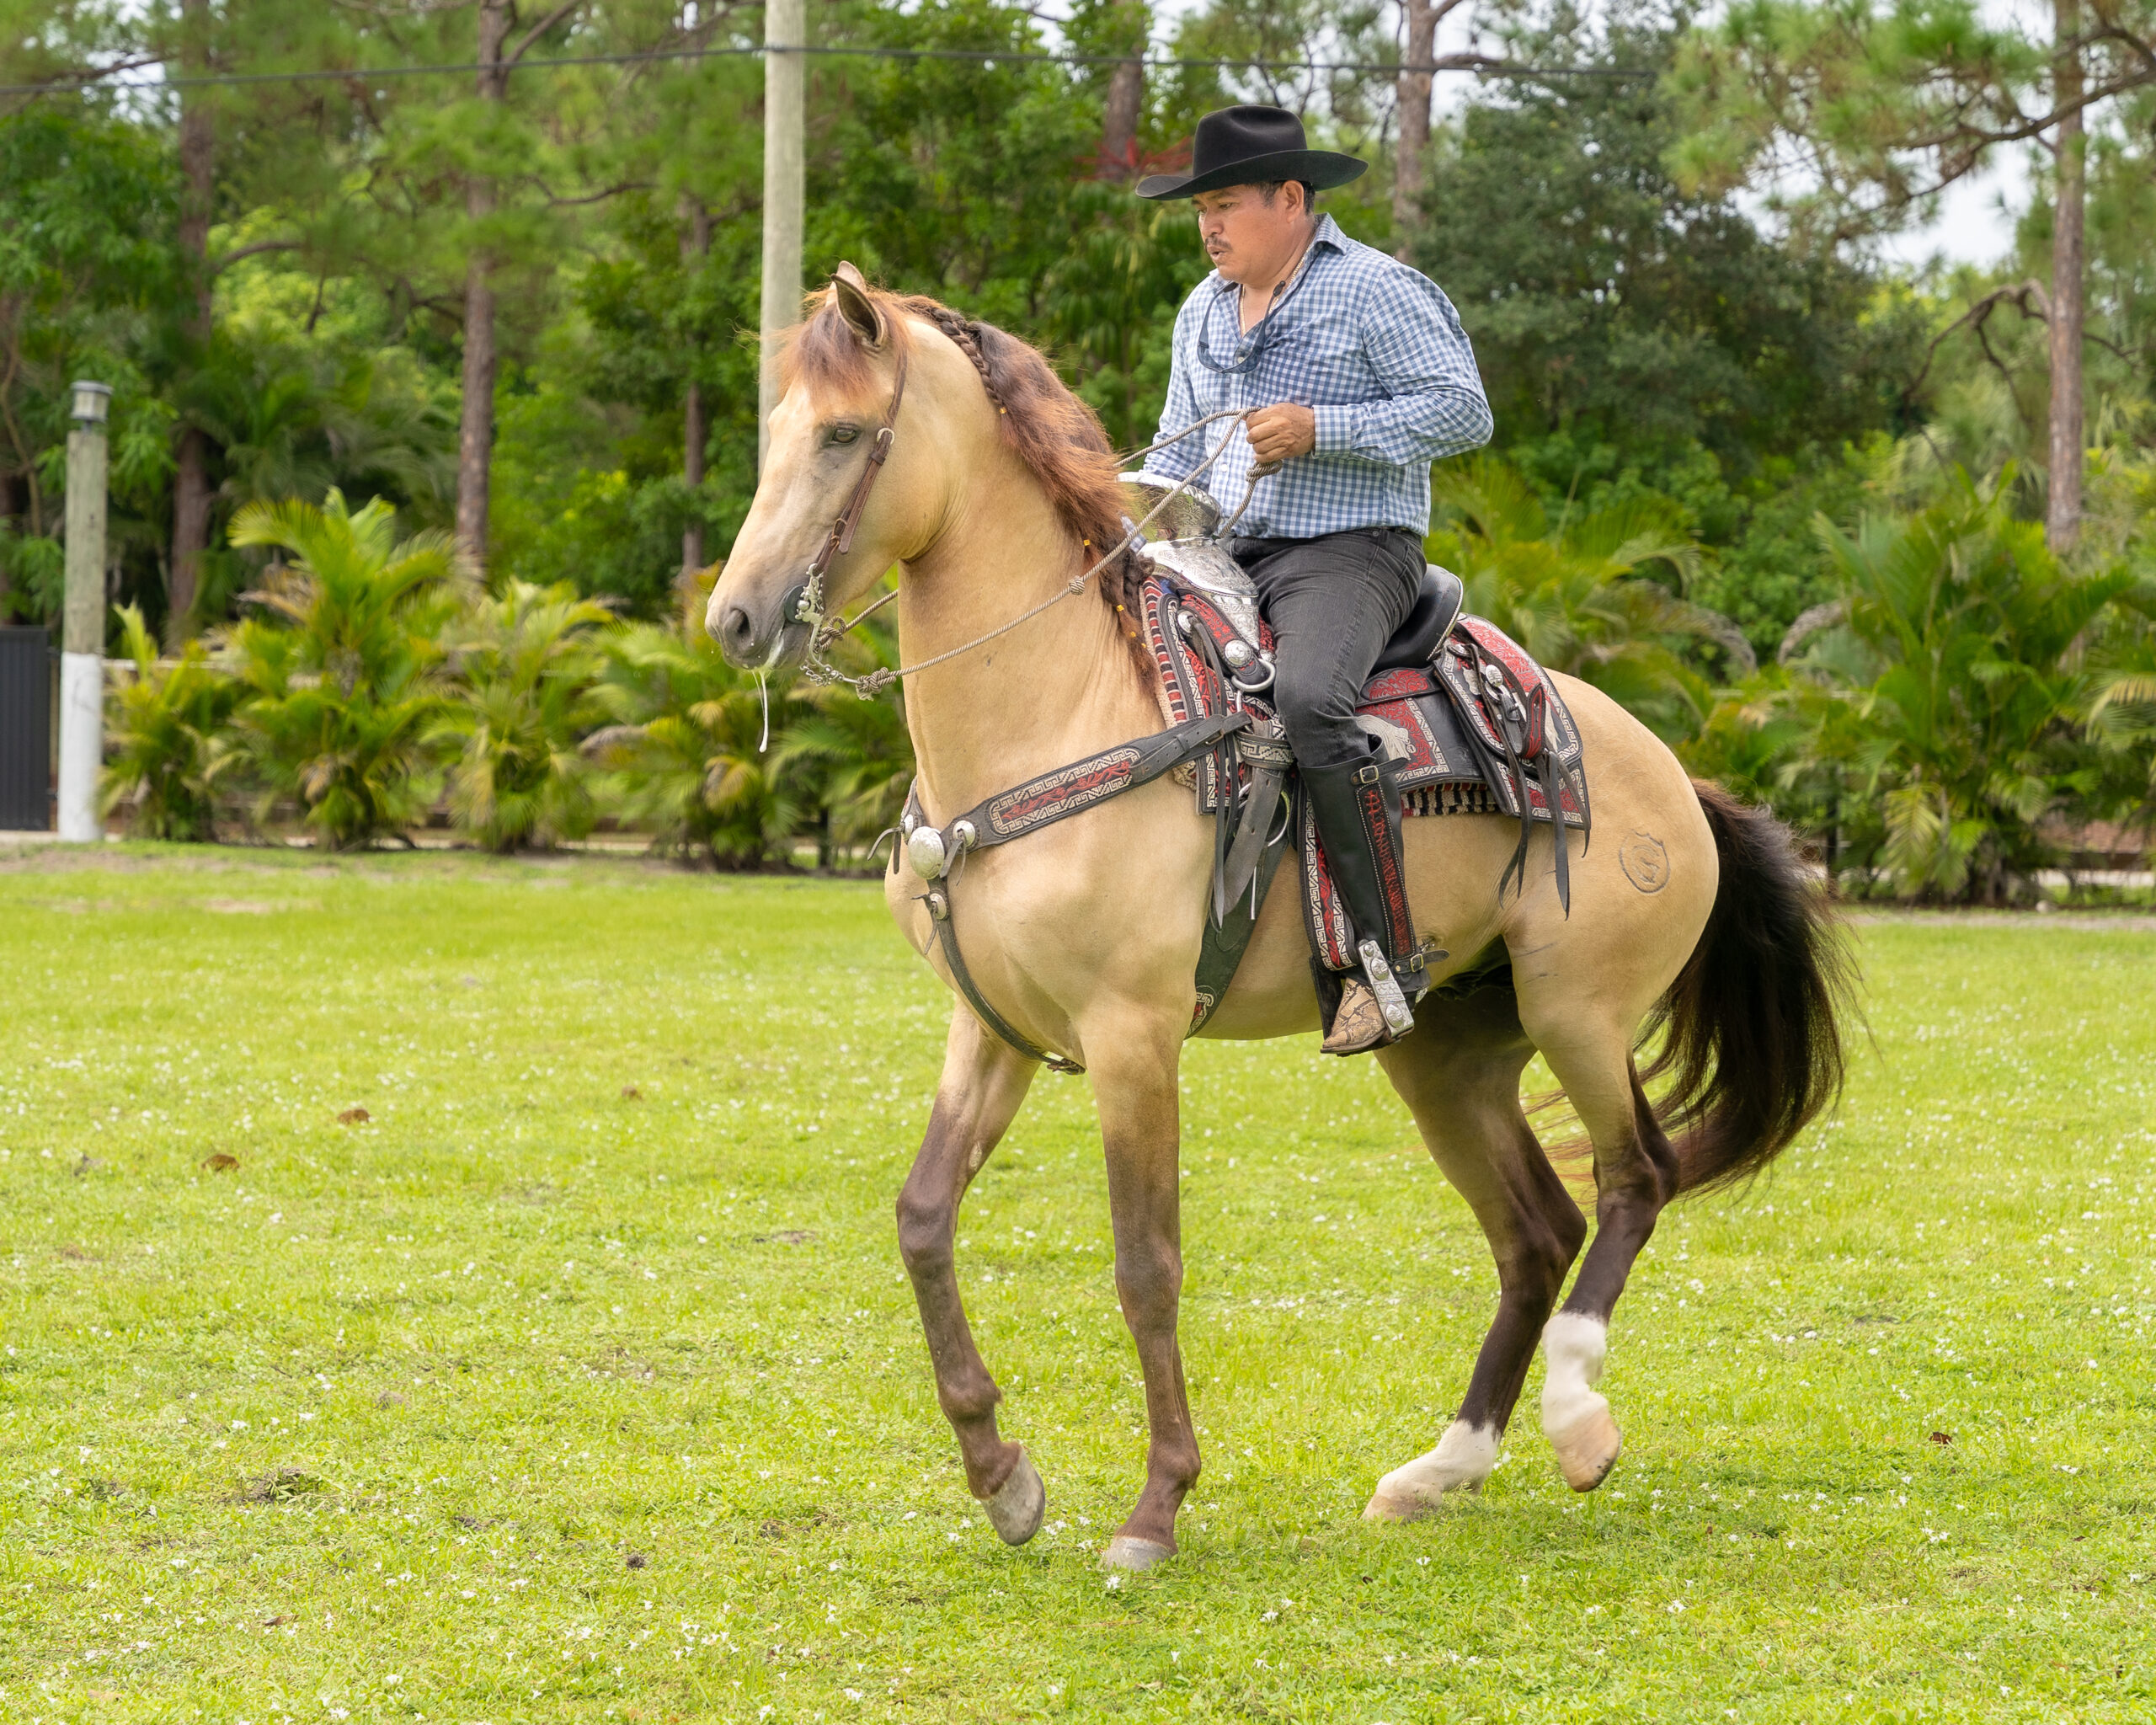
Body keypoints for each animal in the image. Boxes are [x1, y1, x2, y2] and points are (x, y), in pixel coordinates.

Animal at [708, 267, 1848, 1572]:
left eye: (847, 435)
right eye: (781, 431)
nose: (734, 619)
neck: (1063, 705)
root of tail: (1674, 774)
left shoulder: (1132, 1035)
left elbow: (1146, 1263)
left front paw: (1155, 1506)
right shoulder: (992, 1028)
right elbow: (922, 1220)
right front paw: (1003, 1477)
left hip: (1580, 1012)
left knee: (1632, 1182)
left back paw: (1576, 1421)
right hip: (1446, 1052)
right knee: (1535, 1232)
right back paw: (1441, 1468)